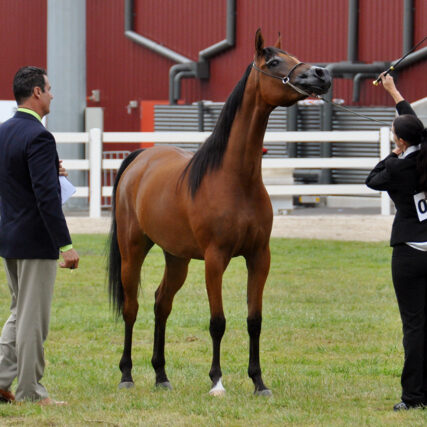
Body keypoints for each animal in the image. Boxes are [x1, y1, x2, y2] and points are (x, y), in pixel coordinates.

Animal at [108, 29, 331, 396]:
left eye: (294, 56)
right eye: (274, 62)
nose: (321, 74)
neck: (235, 179)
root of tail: (141, 159)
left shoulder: (259, 257)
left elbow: (254, 321)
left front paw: (258, 381)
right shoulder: (215, 259)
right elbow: (218, 322)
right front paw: (217, 382)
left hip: (177, 257)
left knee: (161, 304)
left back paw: (161, 375)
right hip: (133, 250)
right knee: (131, 308)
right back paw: (126, 375)